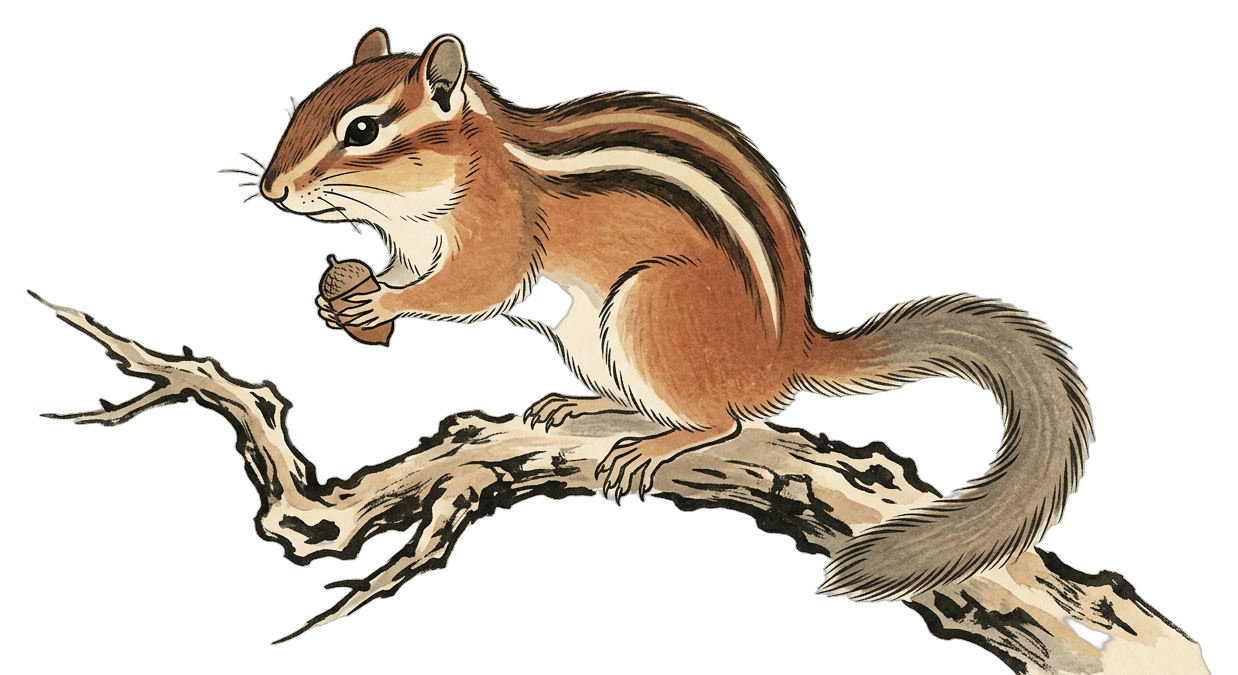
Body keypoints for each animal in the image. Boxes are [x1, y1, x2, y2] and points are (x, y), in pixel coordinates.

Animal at [257, 28, 1093, 602]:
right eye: (306, 109)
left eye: (362, 130)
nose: (271, 190)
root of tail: (788, 354)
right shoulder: (414, 244)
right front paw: (340, 296)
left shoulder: (500, 232)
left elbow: (470, 289)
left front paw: (383, 298)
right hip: (593, 339)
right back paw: (585, 409)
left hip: (649, 309)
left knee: (721, 420)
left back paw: (658, 442)